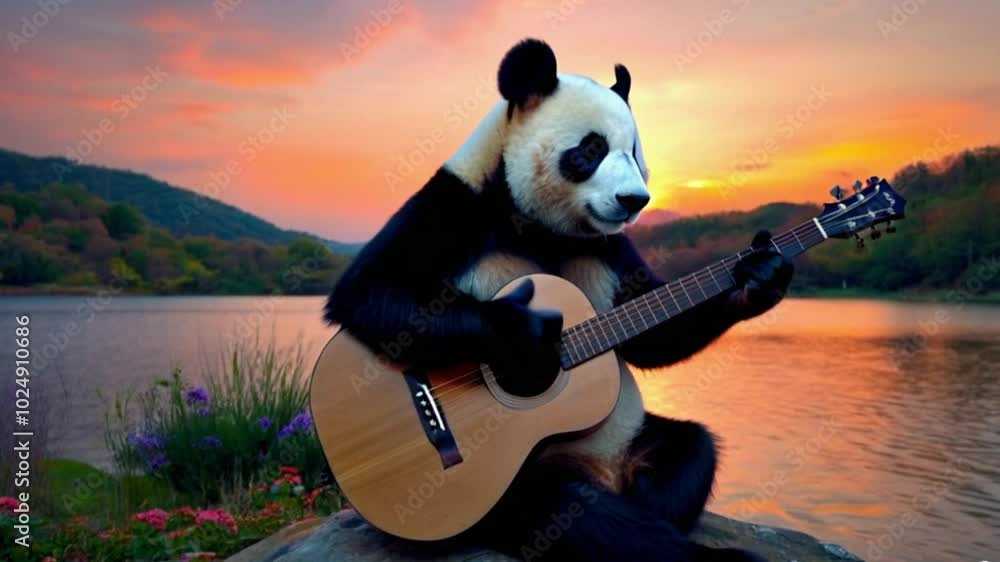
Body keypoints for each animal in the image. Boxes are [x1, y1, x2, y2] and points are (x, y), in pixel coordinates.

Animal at [325, 39, 792, 562]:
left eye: (634, 152)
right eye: (591, 149)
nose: (635, 200)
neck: (542, 226)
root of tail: (606, 474)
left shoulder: (610, 247)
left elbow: (651, 336)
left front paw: (759, 277)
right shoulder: (455, 206)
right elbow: (371, 290)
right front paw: (527, 340)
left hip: (633, 433)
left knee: (690, 451)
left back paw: (647, 495)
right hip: (496, 489)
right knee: (563, 511)